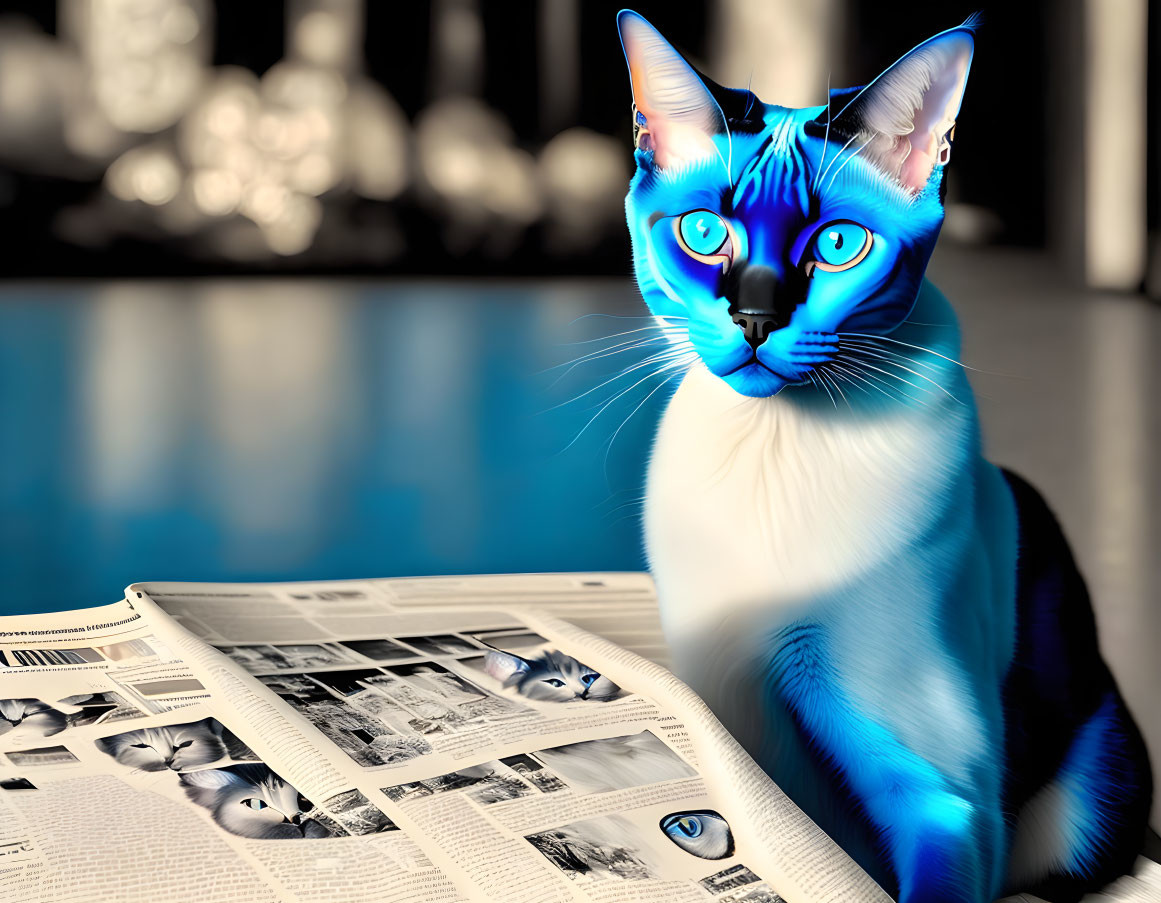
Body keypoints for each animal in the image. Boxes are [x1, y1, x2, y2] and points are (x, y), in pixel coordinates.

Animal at [617, 8, 1151, 900]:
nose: (755, 318)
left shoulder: (947, 798)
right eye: (703, 233)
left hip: (1087, 793)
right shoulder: (729, 715)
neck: (775, 455)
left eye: (837, 245)